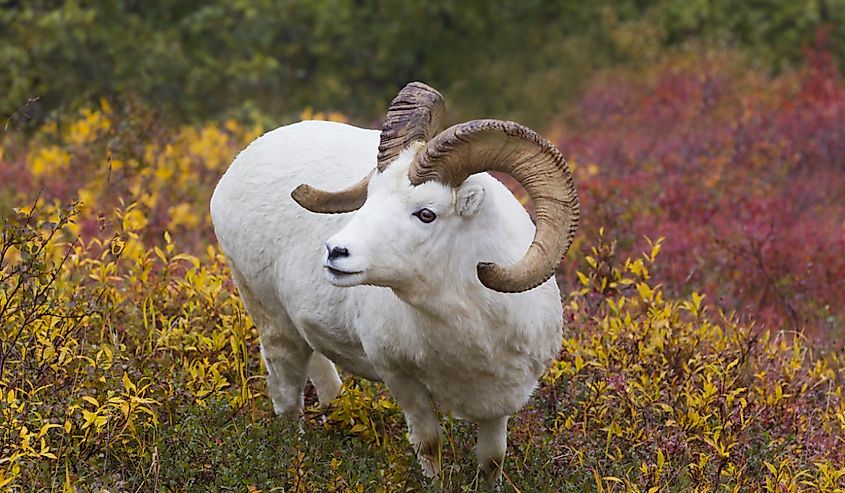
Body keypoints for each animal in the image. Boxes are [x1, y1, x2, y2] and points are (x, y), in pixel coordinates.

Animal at [211, 82, 580, 482]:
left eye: (426, 214)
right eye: (370, 197)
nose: (335, 252)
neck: (475, 333)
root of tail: (237, 166)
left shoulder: (499, 406)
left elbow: (492, 460)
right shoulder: (402, 380)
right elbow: (429, 445)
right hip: (273, 322)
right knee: (287, 397)